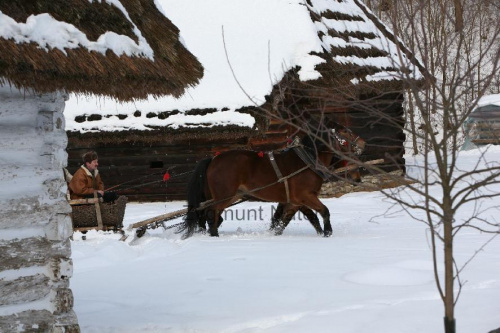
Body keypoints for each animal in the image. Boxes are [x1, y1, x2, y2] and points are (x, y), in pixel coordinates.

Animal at [178, 123, 366, 237]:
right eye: (345, 132)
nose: (363, 143)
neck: (307, 161)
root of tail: (213, 159)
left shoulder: (295, 201)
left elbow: (289, 220)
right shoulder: (305, 196)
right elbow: (324, 211)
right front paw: (327, 232)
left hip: (222, 196)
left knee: (207, 215)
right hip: (224, 196)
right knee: (211, 214)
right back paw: (214, 236)